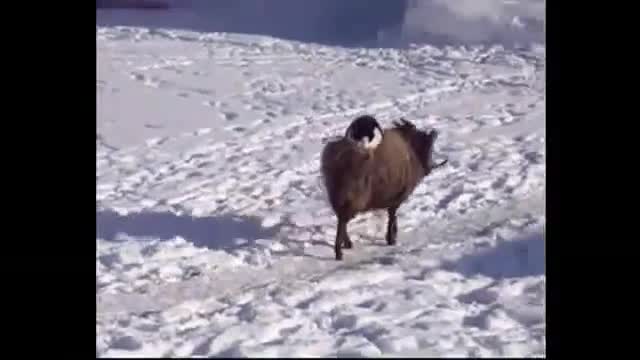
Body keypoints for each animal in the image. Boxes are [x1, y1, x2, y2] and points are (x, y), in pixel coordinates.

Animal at [318, 116, 444, 260]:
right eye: (428, 145)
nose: (428, 169)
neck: (411, 151)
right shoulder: (396, 198)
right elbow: (392, 217)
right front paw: (391, 239)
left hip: (337, 197)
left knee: (341, 219)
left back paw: (347, 245)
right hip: (353, 198)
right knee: (342, 221)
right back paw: (340, 252)